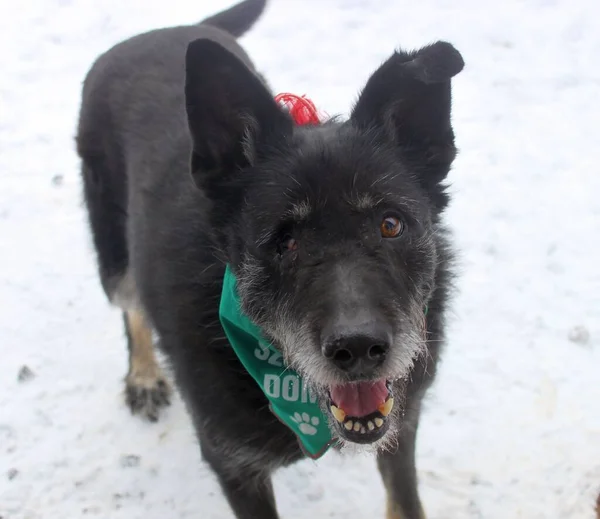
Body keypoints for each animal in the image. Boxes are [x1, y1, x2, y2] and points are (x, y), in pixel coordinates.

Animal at [76, 2, 464, 516]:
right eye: (284, 240)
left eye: (390, 224)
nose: (360, 348)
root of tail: (165, 30)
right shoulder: (235, 466)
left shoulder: (401, 427)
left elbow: (405, 501)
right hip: (115, 258)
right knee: (130, 307)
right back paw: (143, 376)